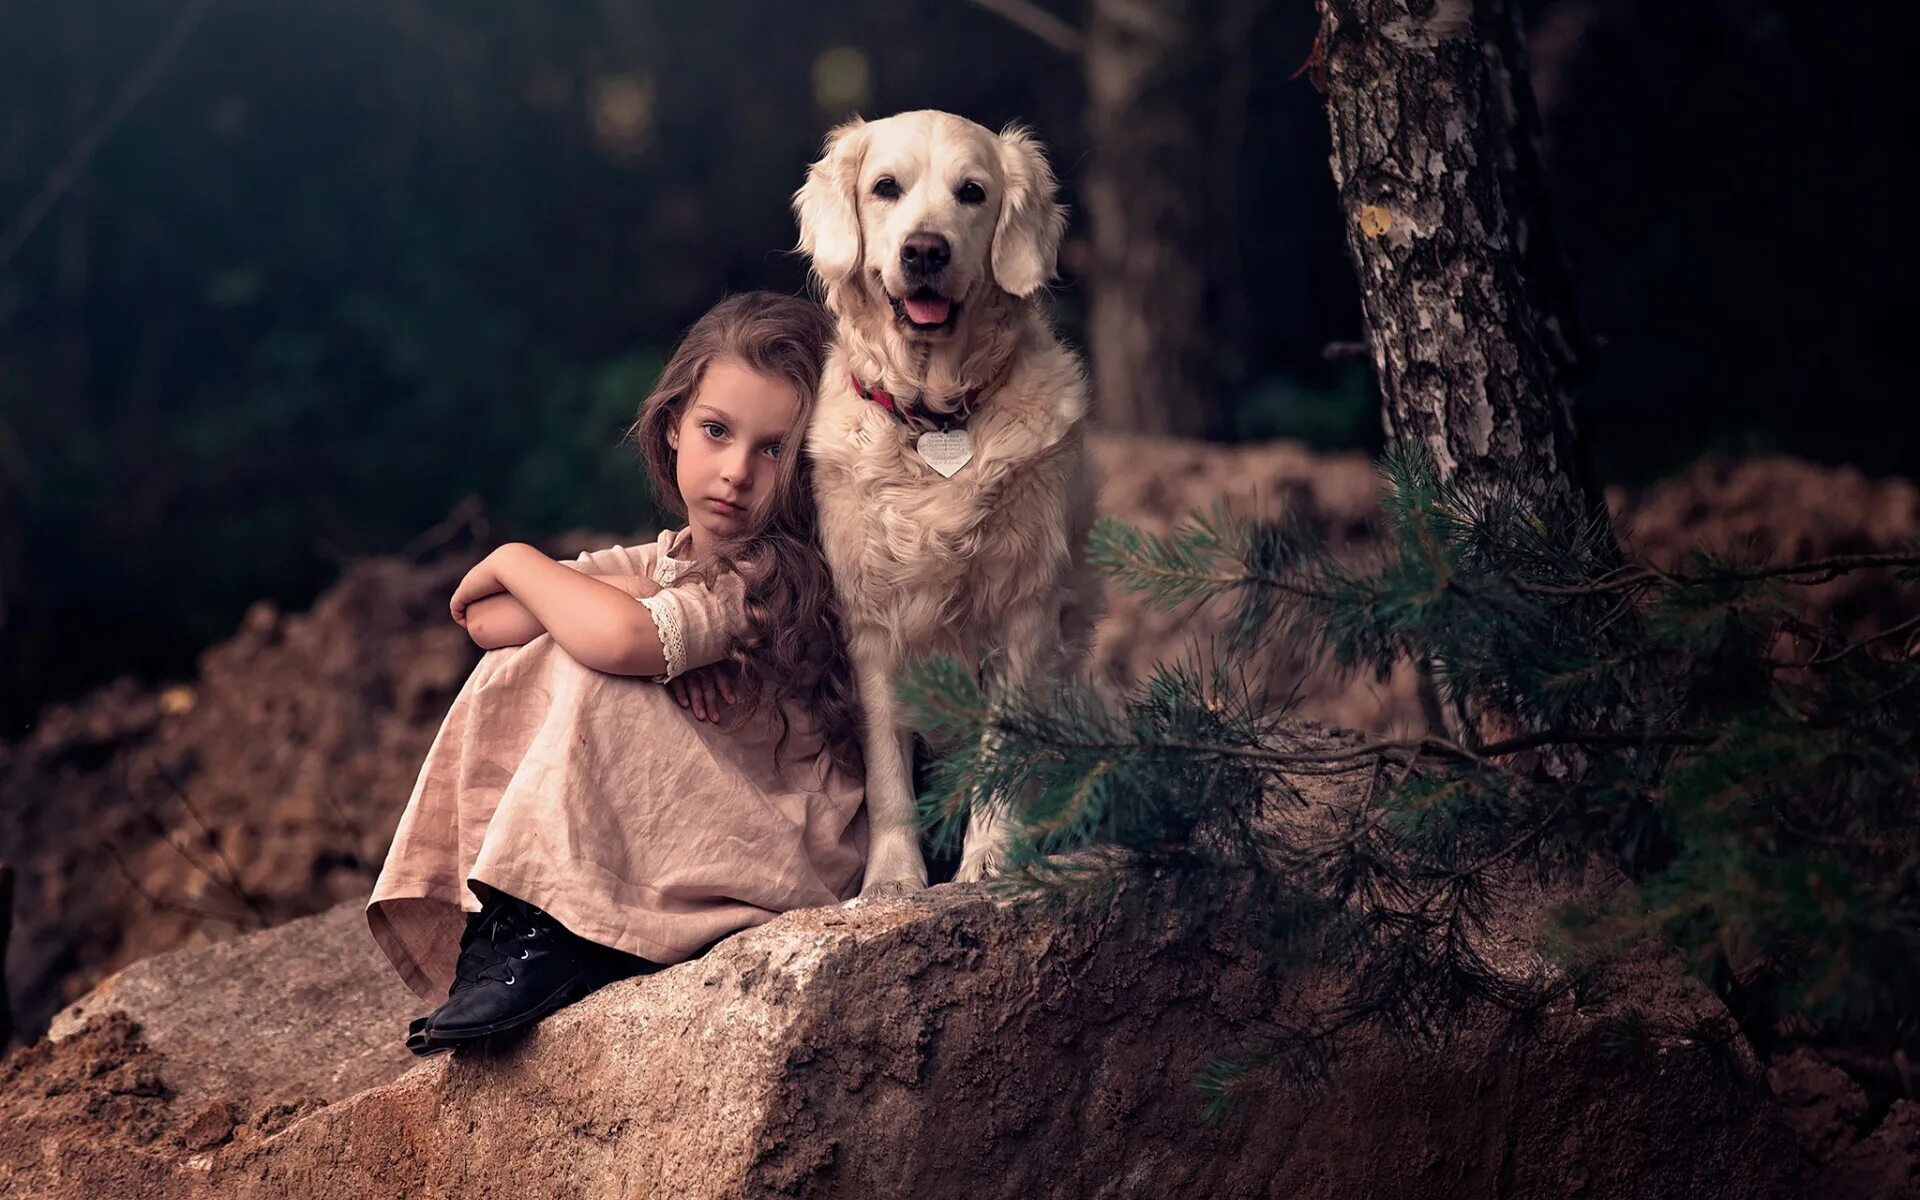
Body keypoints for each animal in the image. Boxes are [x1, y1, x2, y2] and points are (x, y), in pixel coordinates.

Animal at [791, 112, 1098, 894]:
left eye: (972, 192)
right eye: (885, 187)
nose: (925, 250)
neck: (934, 414)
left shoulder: (1026, 607)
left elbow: (1001, 752)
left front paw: (989, 856)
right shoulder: (868, 622)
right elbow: (885, 771)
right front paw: (893, 877)